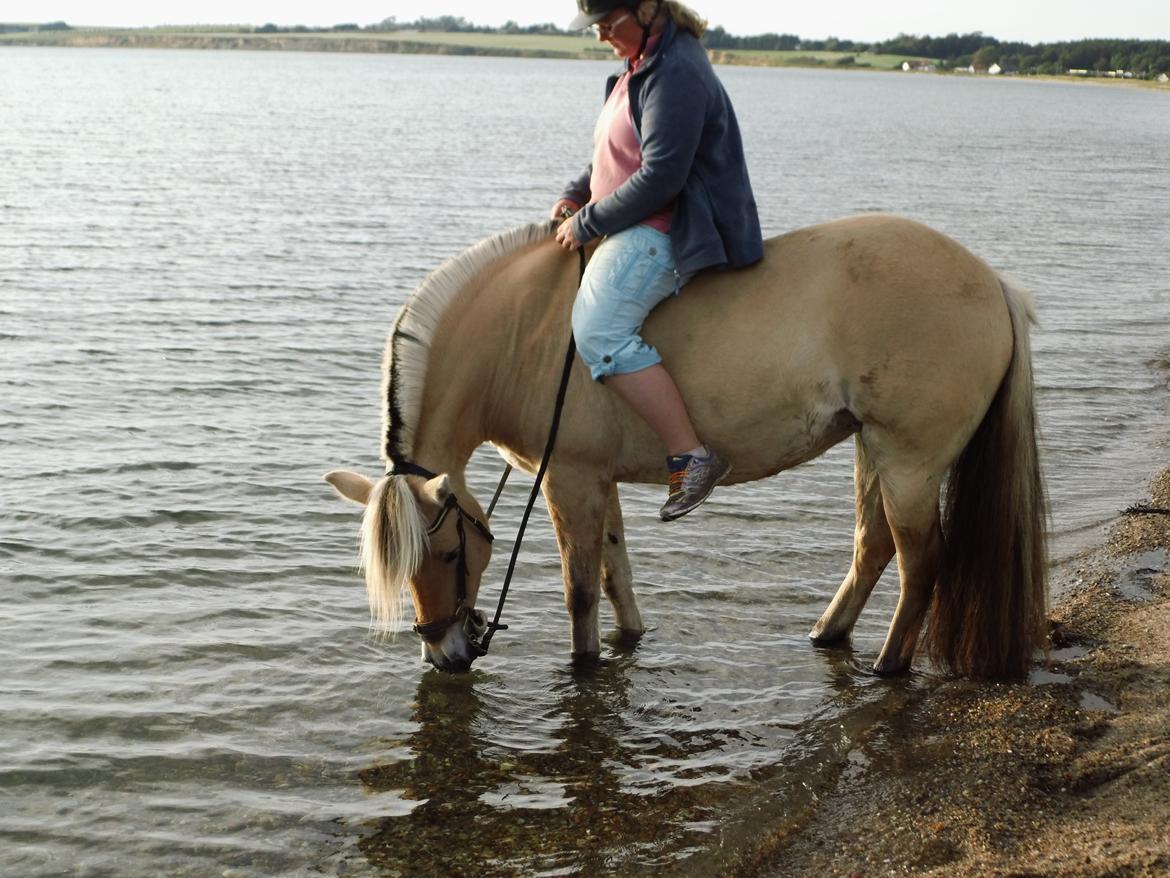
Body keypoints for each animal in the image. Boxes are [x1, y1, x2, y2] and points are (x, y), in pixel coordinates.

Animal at [325, 213, 1048, 678]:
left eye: (449, 553)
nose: (443, 654)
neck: (521, 334)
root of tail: (994, 285)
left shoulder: (569, 480)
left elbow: (580, 589)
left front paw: (582, 666)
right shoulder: (596, 478)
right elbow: (615, 571)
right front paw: (629, 640)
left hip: (909, 462)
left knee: (922, 561)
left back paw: (889, 665)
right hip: (872, 449)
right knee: (874, 547)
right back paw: (828, 634)